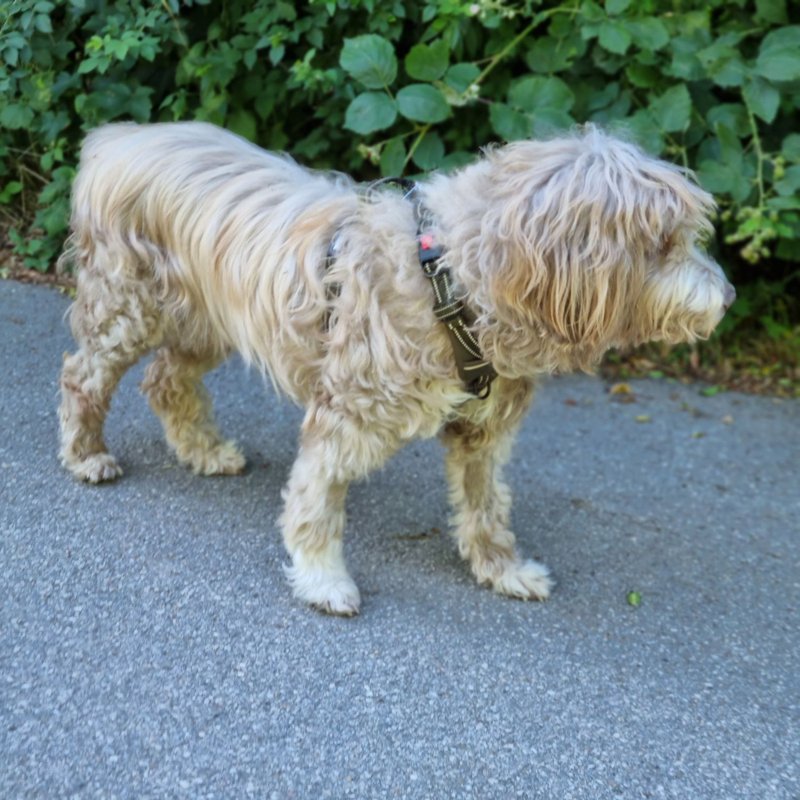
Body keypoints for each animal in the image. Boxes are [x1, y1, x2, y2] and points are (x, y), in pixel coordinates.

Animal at [59, 122, 736, 616]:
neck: (451, 279)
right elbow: (314, 504)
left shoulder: (484, 431)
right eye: (665, 244)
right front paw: (322, 579)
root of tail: (120, 139)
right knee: (83, 377)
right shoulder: (343, 417)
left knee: (166, 379)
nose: (726, 297)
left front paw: (501, 568)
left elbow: (486, 508)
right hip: (127, 309)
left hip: (208, 322)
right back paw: (86, 453)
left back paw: (203, 450)